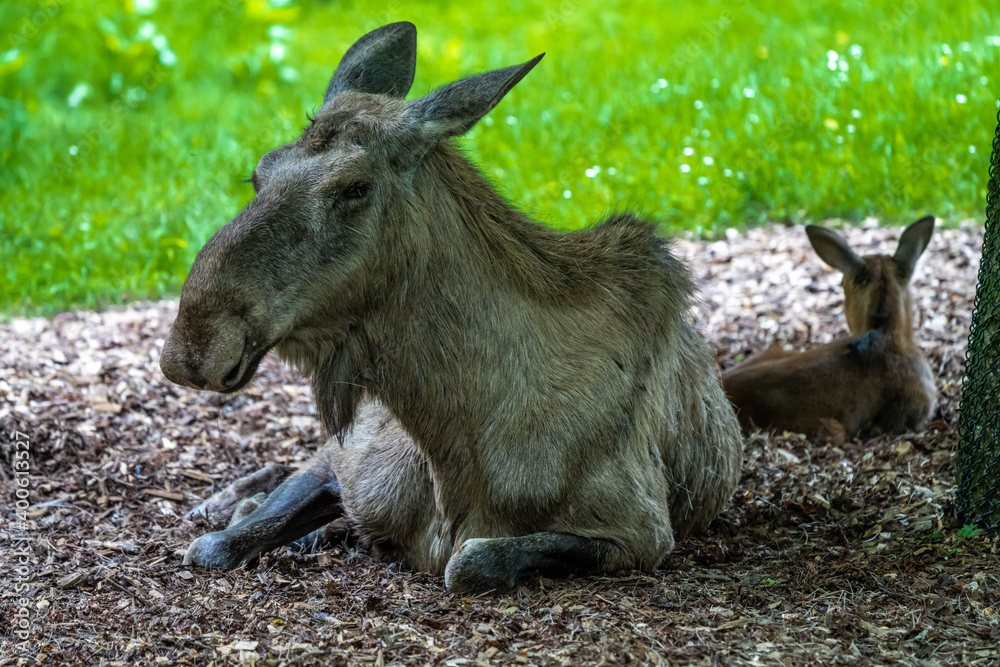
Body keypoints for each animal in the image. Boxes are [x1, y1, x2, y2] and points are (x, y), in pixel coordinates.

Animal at [158, 22, 743, 594]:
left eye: (355, 187)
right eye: (261, 171)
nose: (192, 347)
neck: (455, 447)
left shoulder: (641, 532)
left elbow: (469, 563)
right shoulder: (346, 464)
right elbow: (216, 546)